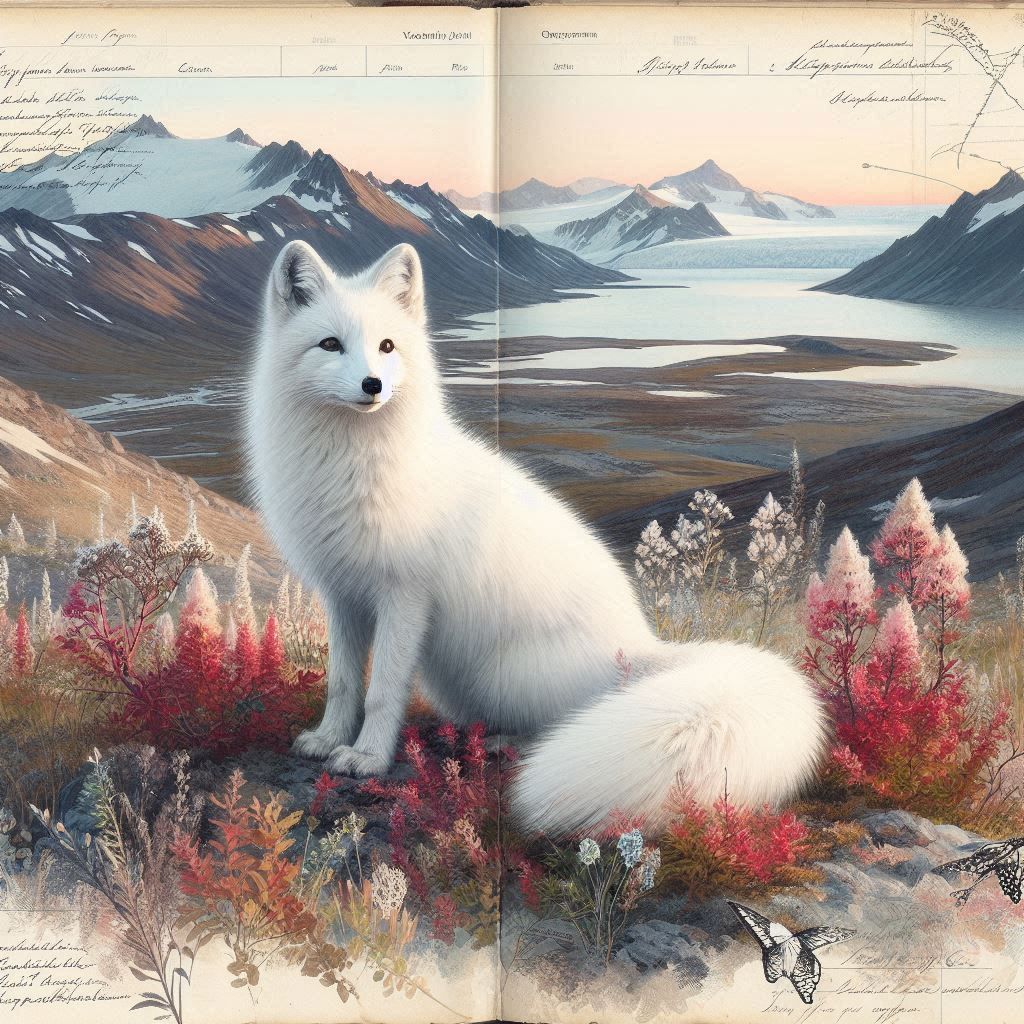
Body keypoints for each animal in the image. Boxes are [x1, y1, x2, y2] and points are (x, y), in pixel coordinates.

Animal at [245, 239, 826, 836]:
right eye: (330, 344)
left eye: (387, 346)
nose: (372, 385)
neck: (349, 462)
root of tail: (642, 648)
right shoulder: (341, 594)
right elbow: (342, 681)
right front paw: (328, 739)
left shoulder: (404, 594)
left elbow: (383, 689)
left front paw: (367, 757)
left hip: (514, 674)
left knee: (555, 720)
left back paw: (510, 745)